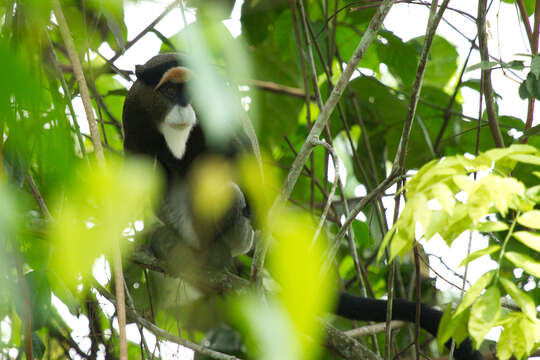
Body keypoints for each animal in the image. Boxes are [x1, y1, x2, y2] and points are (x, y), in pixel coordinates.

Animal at [123, 53, 486, 360]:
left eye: (192, 92)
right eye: (171, 90)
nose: (185, 106)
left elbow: (238, 157)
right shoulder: (134, 114)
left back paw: (221, 248)